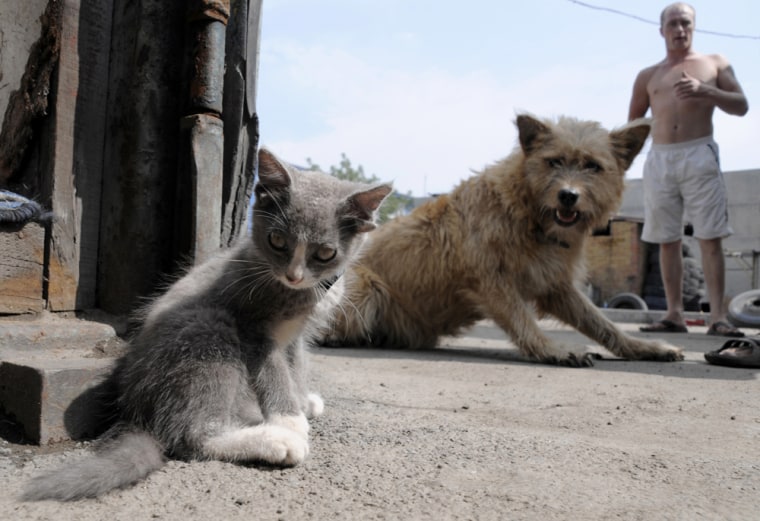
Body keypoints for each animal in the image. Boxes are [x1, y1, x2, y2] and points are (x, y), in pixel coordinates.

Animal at [23, 147, 392, 500]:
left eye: (326, 253)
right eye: (277, 241)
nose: (294, 275)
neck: (294, 291)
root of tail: (137, 410)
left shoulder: (296, 335)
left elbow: (296, 365)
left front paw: (301, 400)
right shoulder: (251, 325)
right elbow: (274, 372)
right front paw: (290, 420)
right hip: (208, 330)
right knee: (194, 436)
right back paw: (274, 441)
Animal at [318, 114, 684, 366]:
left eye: (593, 166)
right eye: (554, 161)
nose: (568, 196)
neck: (528, 214)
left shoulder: (557, 286)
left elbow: (602, 323)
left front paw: (644, 348)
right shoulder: (490, 281)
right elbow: (523, 322)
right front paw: (554, 349)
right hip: (365, 287)